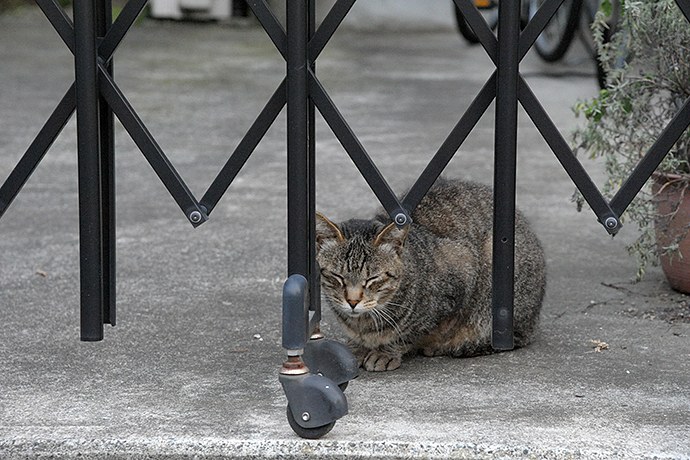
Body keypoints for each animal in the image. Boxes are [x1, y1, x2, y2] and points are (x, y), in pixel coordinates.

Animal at [314, 178, 544, 372]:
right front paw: (357, 348)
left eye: (372, 279)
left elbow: (410, 332)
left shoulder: (460, 275)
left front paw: (385, 352)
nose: (352, 301)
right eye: (338, 276)